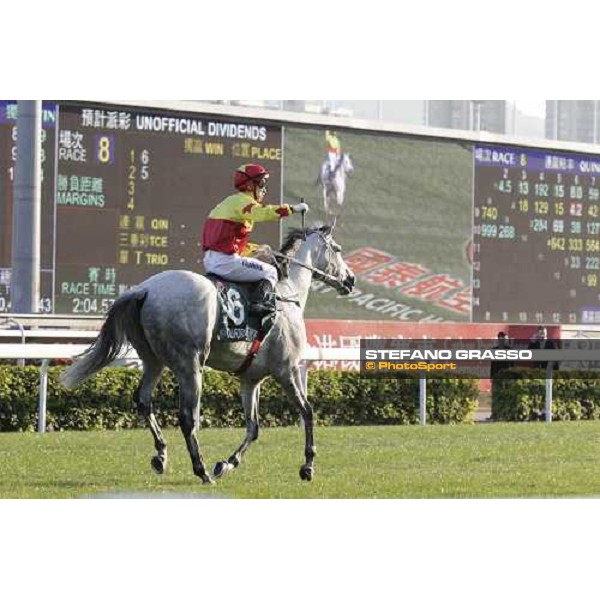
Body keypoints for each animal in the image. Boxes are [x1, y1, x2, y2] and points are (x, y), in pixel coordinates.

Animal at [58, 224, 354, 482]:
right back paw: (200, 470)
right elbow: (307, 412)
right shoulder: (287, 369)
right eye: (337, 249)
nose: (350, 279)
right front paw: (308, 466)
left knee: (143, 401)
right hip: (191, 365)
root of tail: (145, 289)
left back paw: (162, 455)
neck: (287, 294)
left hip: (153, 360)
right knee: (187, 417)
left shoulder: (251, 379)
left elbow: (253, 427)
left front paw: (226, 464)